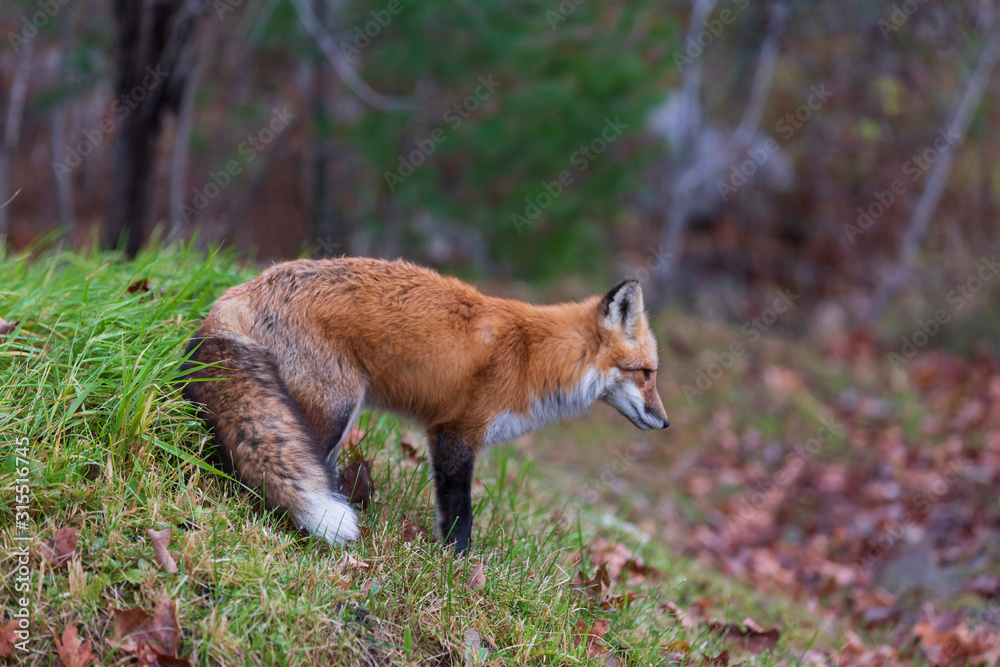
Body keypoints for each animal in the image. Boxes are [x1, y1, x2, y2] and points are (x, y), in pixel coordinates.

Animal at [181, 257, 668, 554]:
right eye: (646, 373)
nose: (665, 422)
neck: (533, 358)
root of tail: (240, 290)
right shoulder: (455, 433)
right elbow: (460, 515)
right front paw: (458, 568)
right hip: (335, 407)